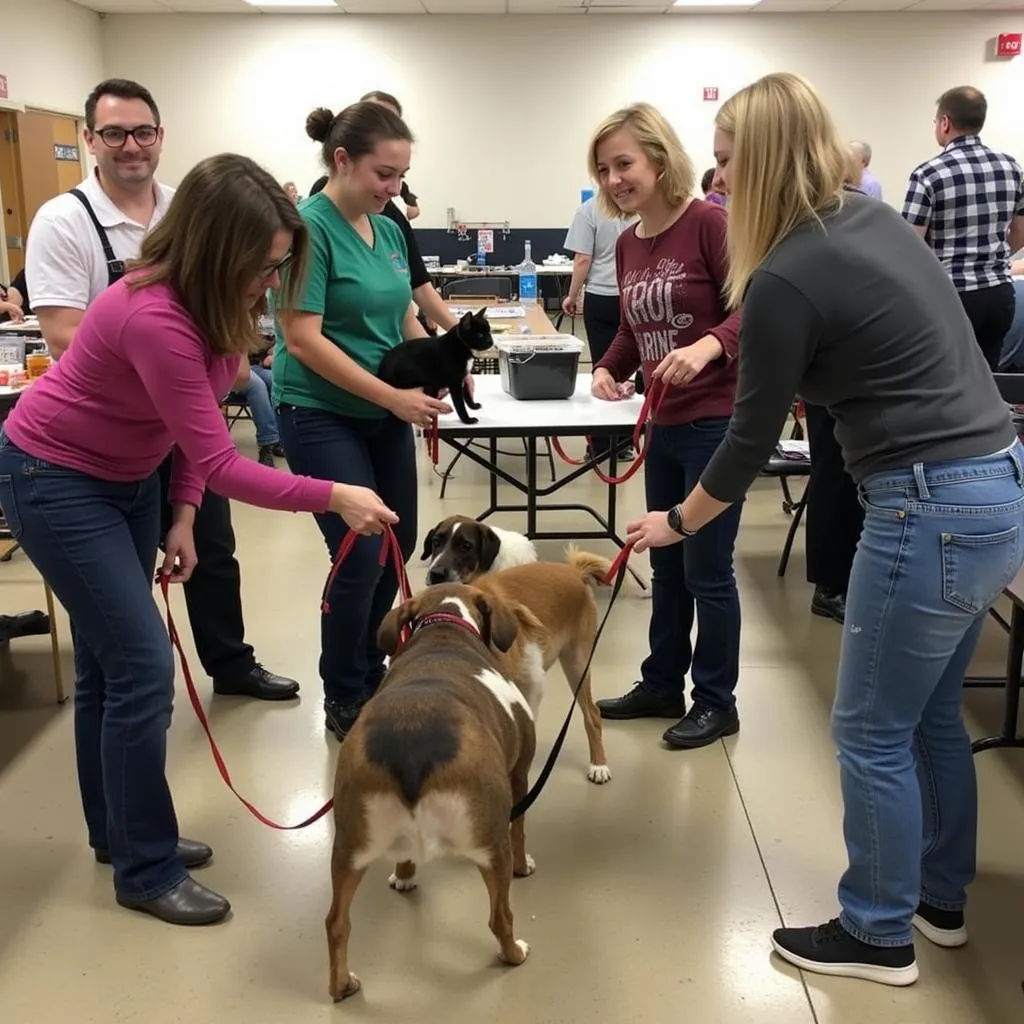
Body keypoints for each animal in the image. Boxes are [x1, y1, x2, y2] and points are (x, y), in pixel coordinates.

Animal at [323, 581, 544, 1003]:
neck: (446, 624)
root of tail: (411, 747)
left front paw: (404, 874)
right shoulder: (519, 777)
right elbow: (522, 829)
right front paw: (526, 865)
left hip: (348, 848)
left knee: (336, 923)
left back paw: (342, 985)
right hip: (492, 844)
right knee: (499, 916)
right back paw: (514, 954)